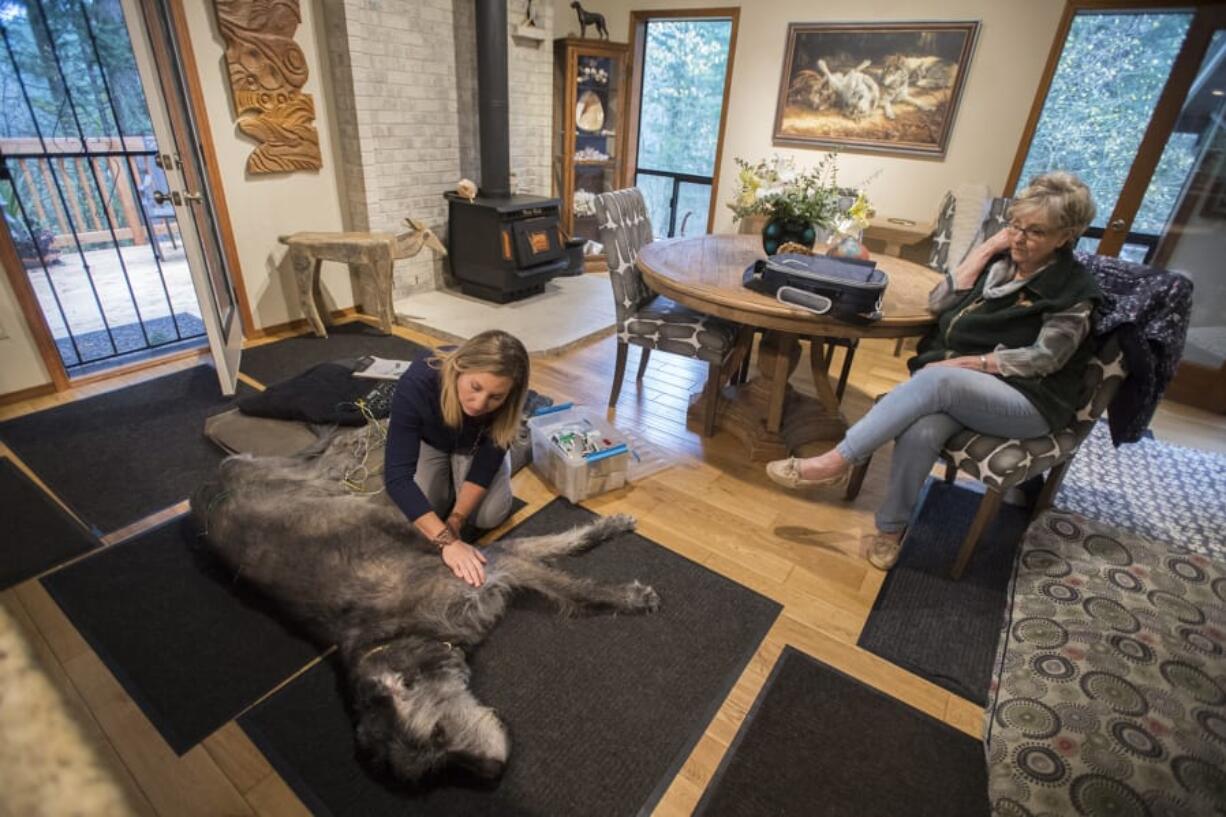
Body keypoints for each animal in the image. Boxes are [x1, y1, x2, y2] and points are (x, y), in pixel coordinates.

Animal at [188, 429, 662, 785]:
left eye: (438, 734)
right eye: (438, 765)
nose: (494, 772)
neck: (399, 634)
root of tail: (202, 492)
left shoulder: (491, 566)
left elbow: (574, 581)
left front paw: (626, 584)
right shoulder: (496, 567)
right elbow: (552, 551)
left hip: (305, 479)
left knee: (323, 462)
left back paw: (351, 440)